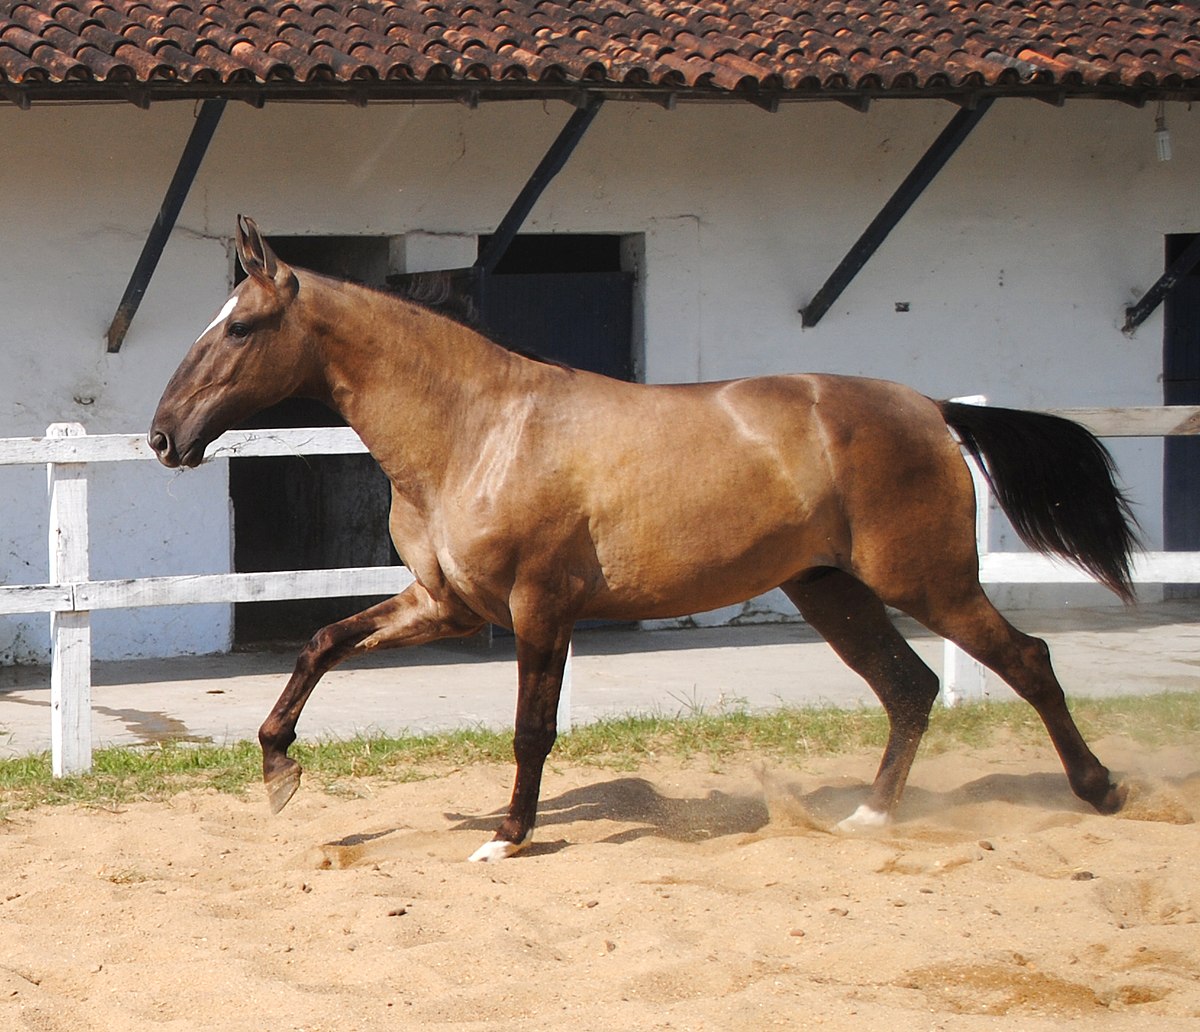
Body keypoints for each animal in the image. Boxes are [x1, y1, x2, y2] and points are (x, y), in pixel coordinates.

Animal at [147, 219, 1132, 864]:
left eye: (240, 327)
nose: (163, 436)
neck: (479, 429)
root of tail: (929, 406)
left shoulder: (539, 606)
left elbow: (531, 728)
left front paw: (508, 837)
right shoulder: (447, 606)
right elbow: (321, 641)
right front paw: (279, 768)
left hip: (929, 581)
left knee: (1026, 661)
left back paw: (1103, 791)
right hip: (832, 588)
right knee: (911, 687)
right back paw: (870, 819)